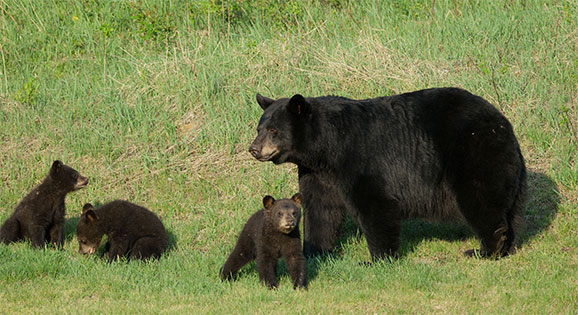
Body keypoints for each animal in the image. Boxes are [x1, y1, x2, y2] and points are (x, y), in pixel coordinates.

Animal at [250, 87, 524, 262]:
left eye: (274, 130)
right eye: (259, 128)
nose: (253, 148)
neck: (327, 146)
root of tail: (501, 121)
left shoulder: (359, 158)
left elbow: (374, 203)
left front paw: (377, 258)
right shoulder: (317, 173)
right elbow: (321, 209)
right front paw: (315, 252)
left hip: (473, 153)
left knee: (481, 199)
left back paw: (485, 250)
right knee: (509, 208)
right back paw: (508, 246)